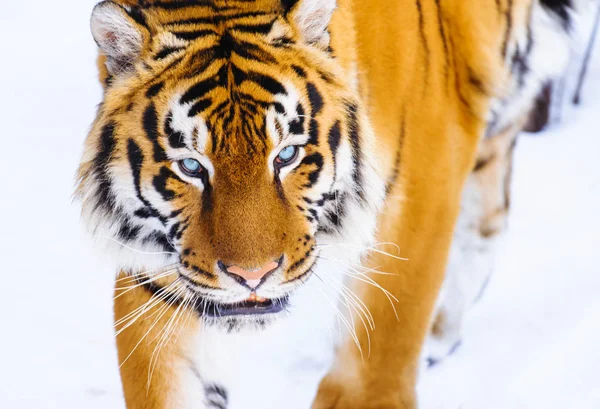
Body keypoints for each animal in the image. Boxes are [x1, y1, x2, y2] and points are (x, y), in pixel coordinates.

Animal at [77, 0, 576, 404]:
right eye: (191, 166)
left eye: (287, 155)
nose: (252, 277)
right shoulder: (162, 269)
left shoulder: (419, 198)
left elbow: (372, 371)